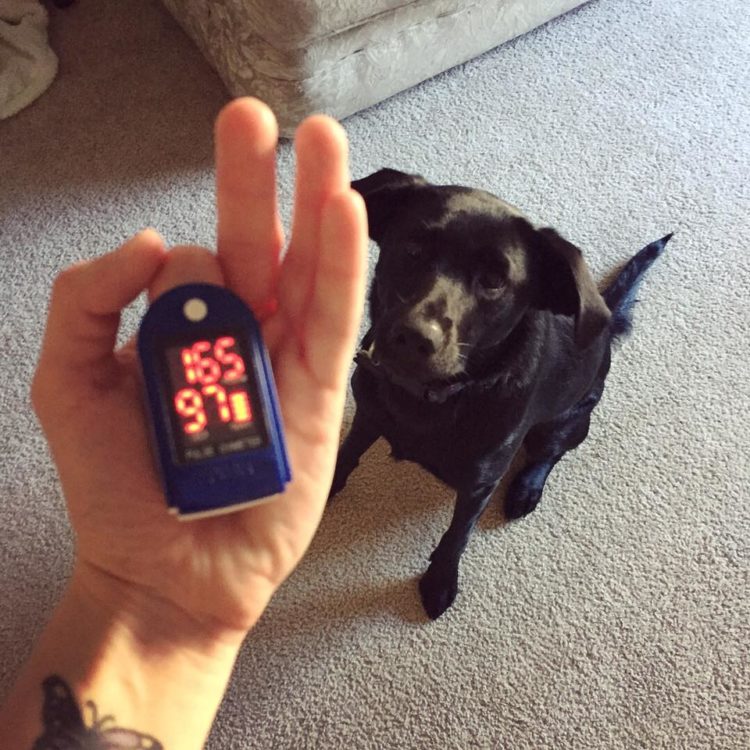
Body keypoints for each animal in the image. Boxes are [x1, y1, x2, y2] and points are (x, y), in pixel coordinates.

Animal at [332, 170, 672, 624]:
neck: (430, 398)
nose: (414, 337)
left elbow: (457, 535)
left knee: (549, 454)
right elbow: (346, 454)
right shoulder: (369, 416)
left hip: (567, 422)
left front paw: (440, 582)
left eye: (494, 281)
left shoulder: (480, 483)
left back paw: (526, 488)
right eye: (413, 248)